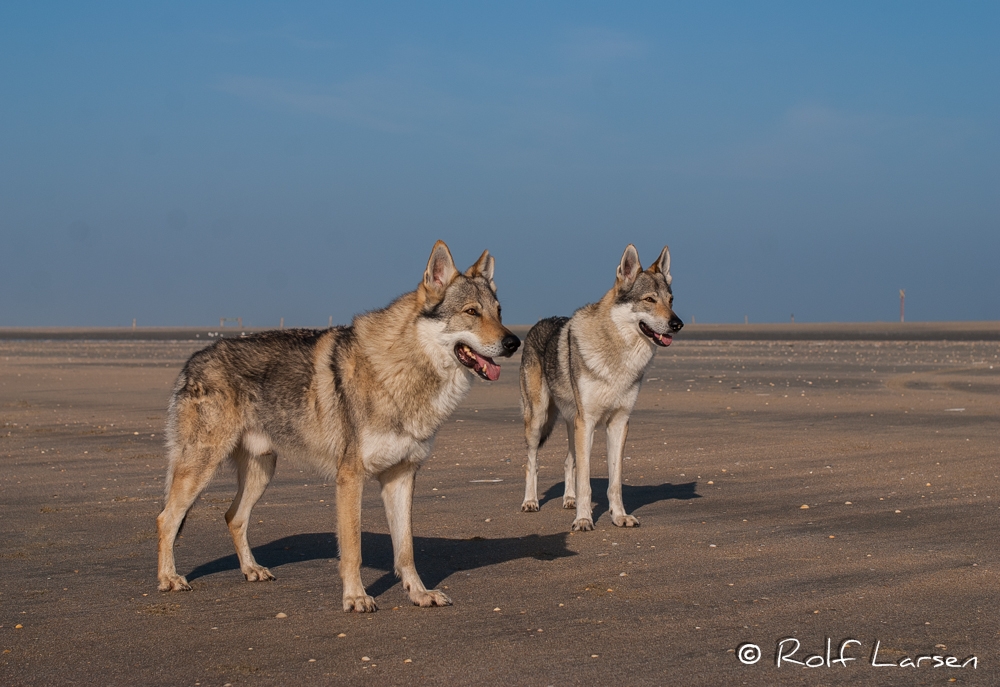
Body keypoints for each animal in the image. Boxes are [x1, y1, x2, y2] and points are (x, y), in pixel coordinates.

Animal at [157, 242, 520, 612]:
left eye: (499, 312)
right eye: (472, 312)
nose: (513, 343)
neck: (401, 370)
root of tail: (193, 359)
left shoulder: (402, 476)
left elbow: (405, 550)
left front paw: (419, 593)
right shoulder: (350, 478)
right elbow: (353, 549)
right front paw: (356, 597)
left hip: (262, 471)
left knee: (233, 517)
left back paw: (251, 570)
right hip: (200, 470)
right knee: (166, 518)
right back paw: (169, 579)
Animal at [520, 246, 684, 532]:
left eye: (671, 300)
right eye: (649, 300)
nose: (678, 324)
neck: (619, 356)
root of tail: (538, 323)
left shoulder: (618, 423)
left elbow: (614, 482)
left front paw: (619, 516)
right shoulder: (587, 423)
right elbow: (585, 482)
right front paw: (584, 519)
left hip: (571, 422)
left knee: (568, 461)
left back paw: (569, 500)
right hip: (539, 421)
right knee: (532, 463)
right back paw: (531, 502)